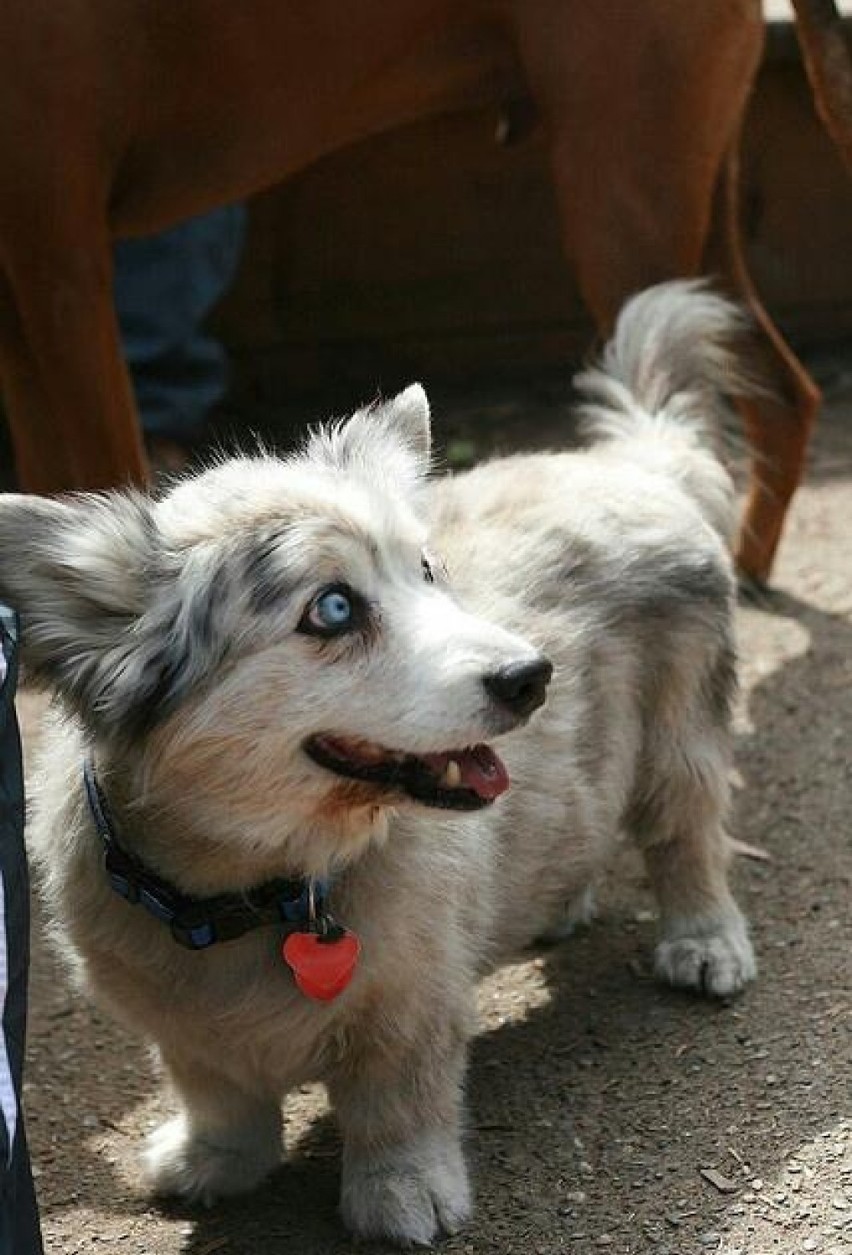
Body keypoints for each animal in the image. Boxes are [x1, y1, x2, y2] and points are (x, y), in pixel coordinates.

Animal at [3, 284, 757, 1244]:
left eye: (427, 571)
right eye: (332, 608)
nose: (533, 677)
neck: (260, 891)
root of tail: (637, 461)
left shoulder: (412, 1008)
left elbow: (398, 1104)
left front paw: (402, 1193)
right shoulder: (184, 1030)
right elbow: (217, 1091)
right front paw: (217, 1159)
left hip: (678, 743)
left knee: (688, 839)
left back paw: (705, 941)